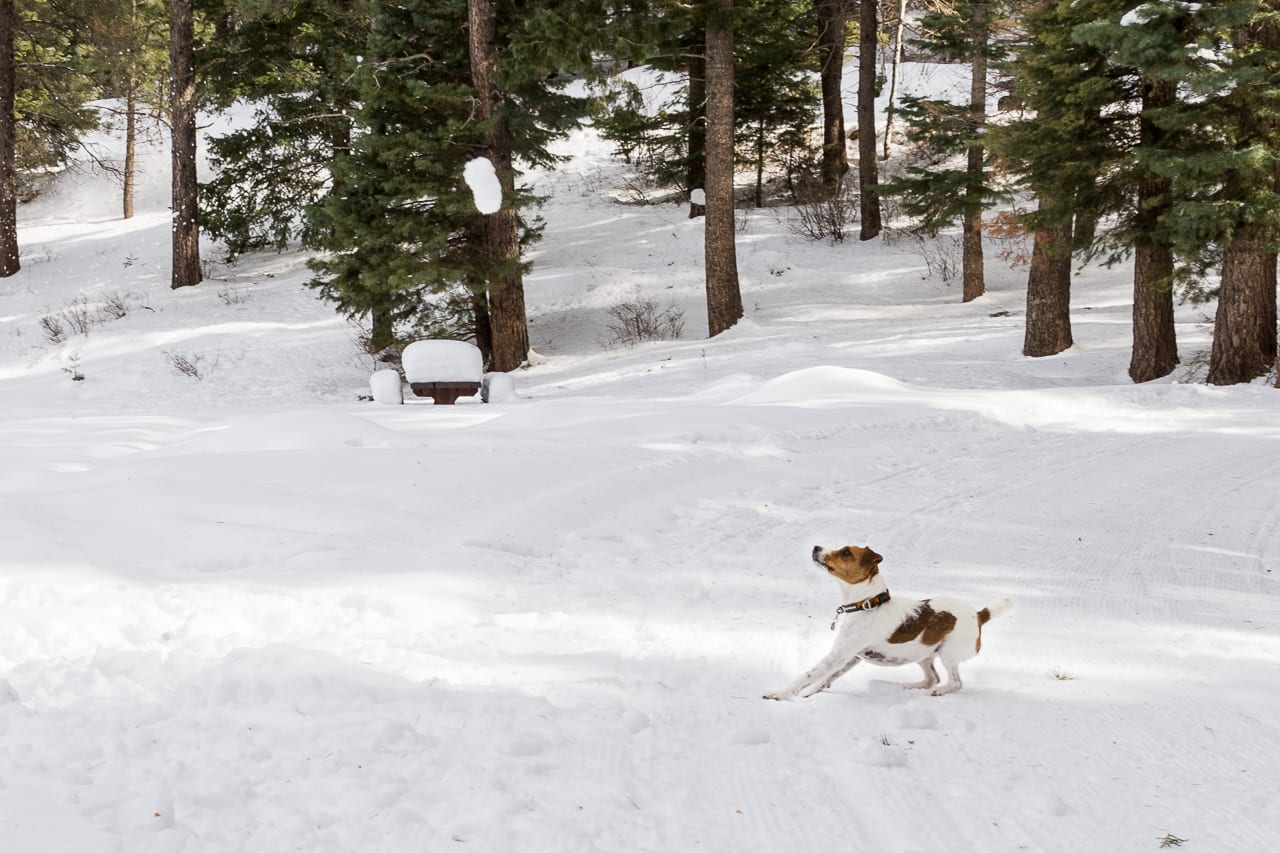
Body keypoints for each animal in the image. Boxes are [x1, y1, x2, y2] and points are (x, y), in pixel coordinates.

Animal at [762, 545, 1013, 696]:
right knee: (932, 677)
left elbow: (808, 674)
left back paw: (939, 691)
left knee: (955, 683)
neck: (868, 604)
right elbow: (827, 678)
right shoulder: (853, 657)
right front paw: (810, 693)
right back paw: (913, 685)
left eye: (846, 552)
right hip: (924, 655)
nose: (816, 547)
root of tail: (979, 614)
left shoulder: (838, 655)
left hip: (948, 654)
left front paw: (780, 695)